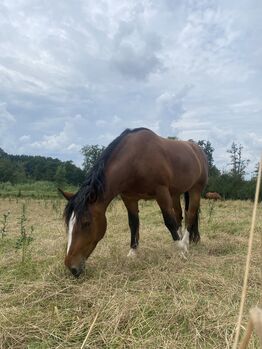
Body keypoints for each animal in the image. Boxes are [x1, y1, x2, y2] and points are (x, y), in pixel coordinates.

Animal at [60, 126, 208, 276]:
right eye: (68, 225)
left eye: (86, 223)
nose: (72, 268)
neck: (136, 160)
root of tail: (196, 149)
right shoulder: (129, 198)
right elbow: (133, 224)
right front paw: (132, 252)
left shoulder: (161, 192)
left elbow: (169, 221)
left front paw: (180, 252)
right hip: (175, 193)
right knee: (179, 215)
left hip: (195, 189)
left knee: (190, 214)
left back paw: (185, 243)